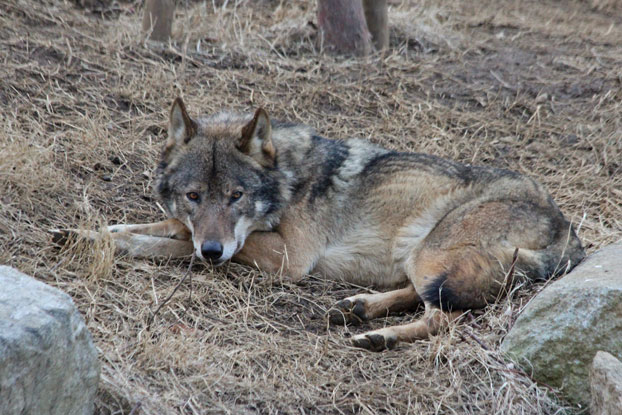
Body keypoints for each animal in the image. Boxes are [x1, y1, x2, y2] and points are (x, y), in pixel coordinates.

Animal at [57, 97, 584, 352]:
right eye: (194, 196)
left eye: (236, 197)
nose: (214, 253)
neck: (287, 181)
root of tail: (570, 234)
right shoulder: (206, 230)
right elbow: (163, 225)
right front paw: (87, 234)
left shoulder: (288, 258)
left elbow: (172, 241)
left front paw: (112, 243)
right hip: (422, 257)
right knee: (422, 297)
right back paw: (358, 308)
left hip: (433, 253)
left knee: (445, 319)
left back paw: (379, 337)